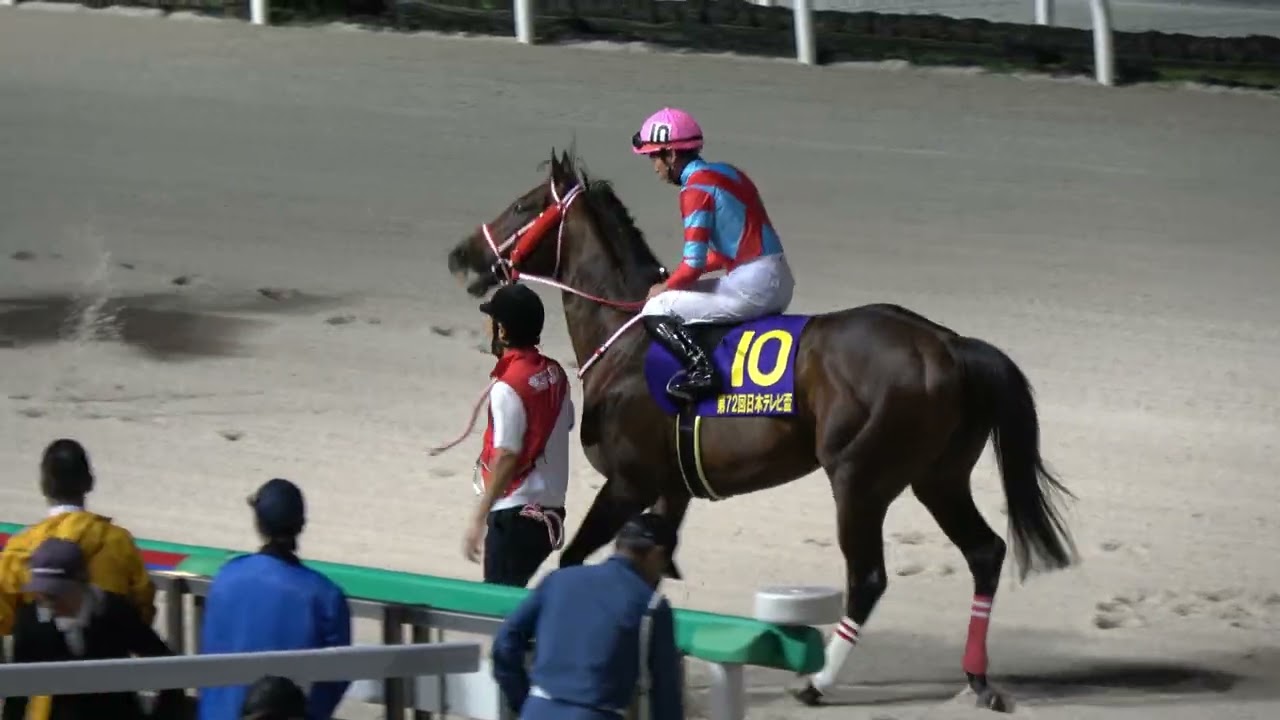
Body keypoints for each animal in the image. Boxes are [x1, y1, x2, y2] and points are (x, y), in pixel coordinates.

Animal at [446, 148, 1078, 710]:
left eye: (523, 205)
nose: (461, 255)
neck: (625, 341)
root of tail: (948, 344)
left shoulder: (629, 482)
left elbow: (572, 561)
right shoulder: (671, 490)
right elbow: (649, 571)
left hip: (860, 477)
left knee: (869, 577)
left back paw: (817, 683)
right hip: (938, 477)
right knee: (985, 551)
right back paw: (977, 680)